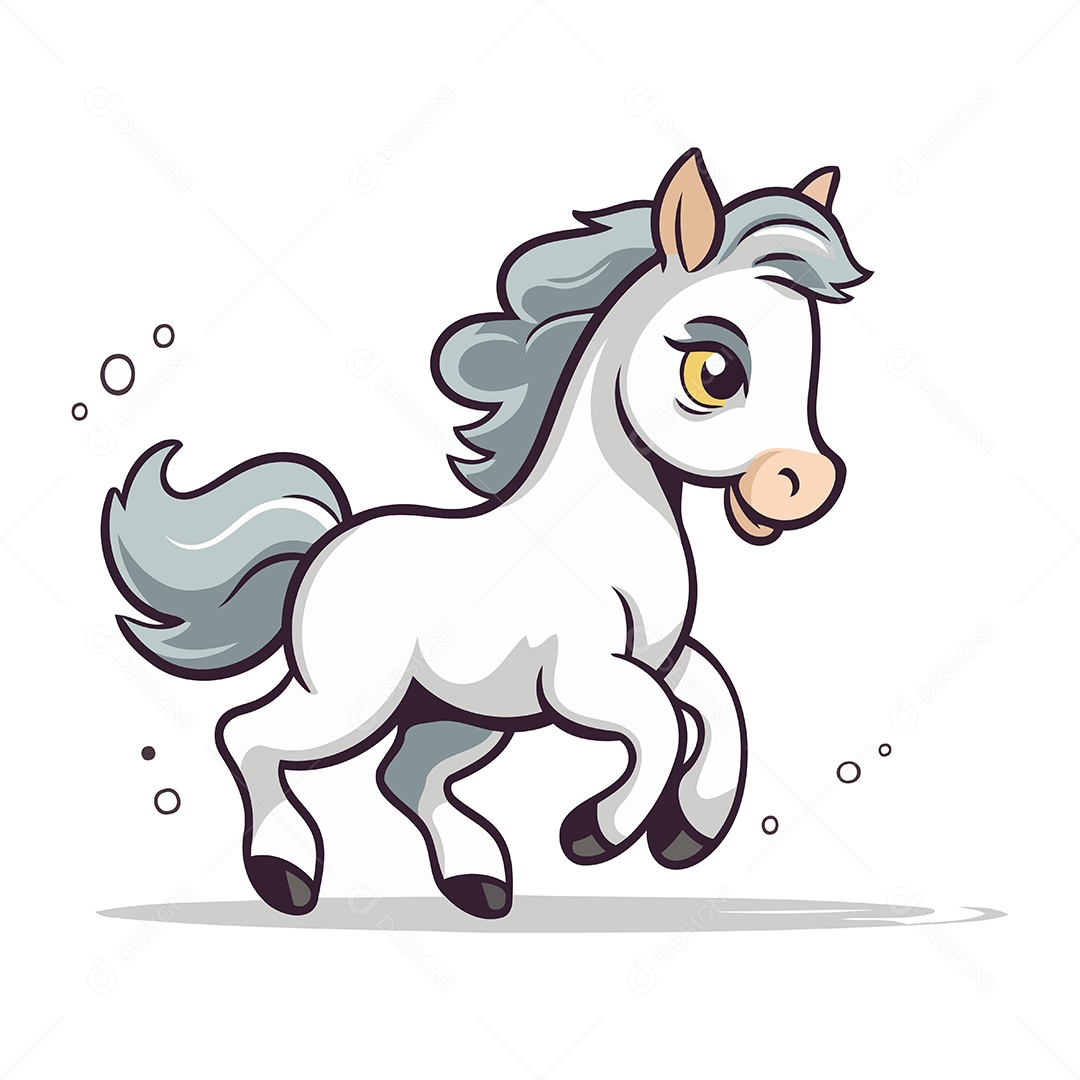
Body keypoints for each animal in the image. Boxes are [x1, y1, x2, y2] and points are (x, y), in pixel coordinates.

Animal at [103, 149, 870, 919]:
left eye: (813, 361)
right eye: (716, 368)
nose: (808, 483)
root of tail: (322, 551)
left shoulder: (659, 656)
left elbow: (714, 701)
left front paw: (689, 831)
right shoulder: (582, 675)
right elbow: (663, 721)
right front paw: (593, 833)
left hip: (458, 712)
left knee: (406, 777)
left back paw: (479, 882)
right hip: (356, 697)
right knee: (249, 735)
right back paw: (285, 875)